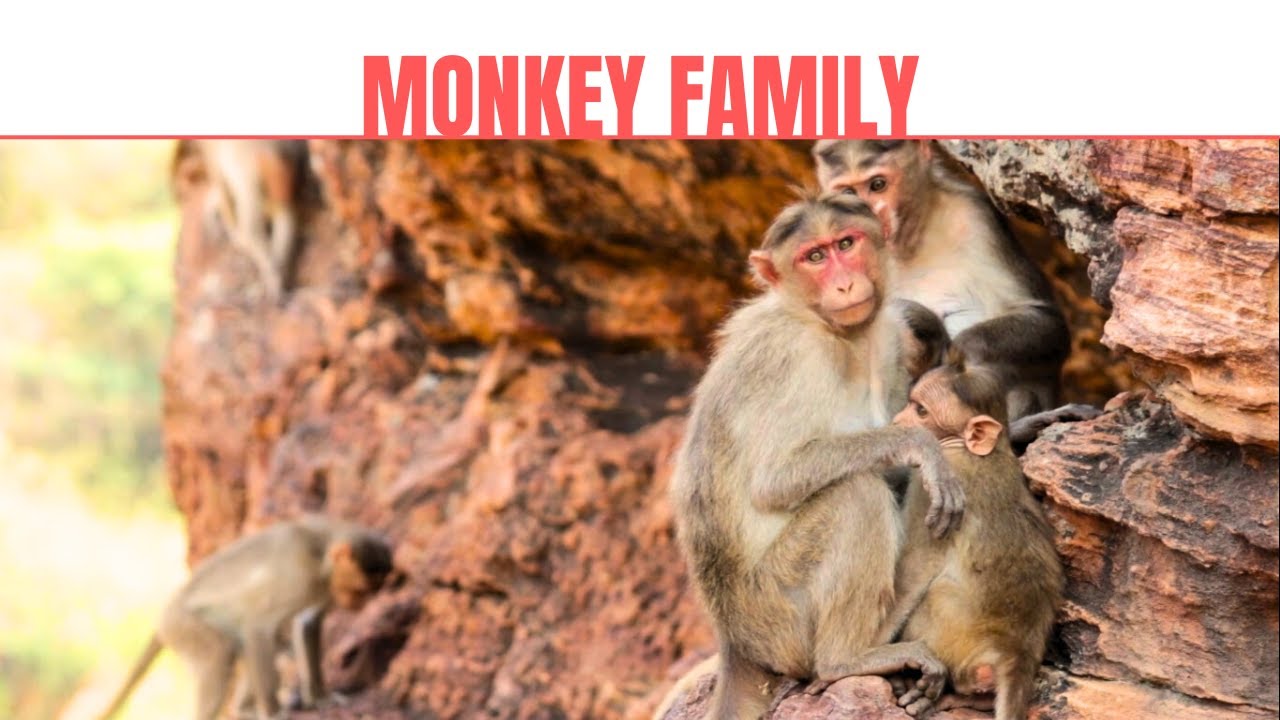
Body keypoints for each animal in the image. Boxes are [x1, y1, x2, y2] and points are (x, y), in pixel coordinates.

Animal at [97, 516, 394, 720]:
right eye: (360, 590)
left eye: (374, 590)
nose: (361, 604)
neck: (321, 553)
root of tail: (166, 612)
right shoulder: (298, 578)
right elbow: (259, 626)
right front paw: (274, 713)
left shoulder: (320, 590)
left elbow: (307, 625)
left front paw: (321, 697)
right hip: (182, 625)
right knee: (222, 653)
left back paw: (244, 710)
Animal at [669, 190, 965, 720]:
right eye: (814, 257)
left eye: (845, 243)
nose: (844, 283)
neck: (840, 334)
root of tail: (734, 640)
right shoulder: (793, 355)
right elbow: (776, 478)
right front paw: (925, 448)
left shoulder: (889, 339)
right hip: (778, 612)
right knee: (856, 496)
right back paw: (847, 659)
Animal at [805, 359, 1064, 720]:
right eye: (913, 404)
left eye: (921, 411)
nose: (898, 421)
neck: (979, 451)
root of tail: (1018, 652)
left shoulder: (933, 489)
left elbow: (915, 571)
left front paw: (860, 655)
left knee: (934, 593)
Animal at [812, 140, 1100, 448]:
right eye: (849, 192)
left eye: (877, 185)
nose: (868, 215)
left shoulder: (974, 214)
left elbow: (1044, 319)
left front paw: (954, 355)